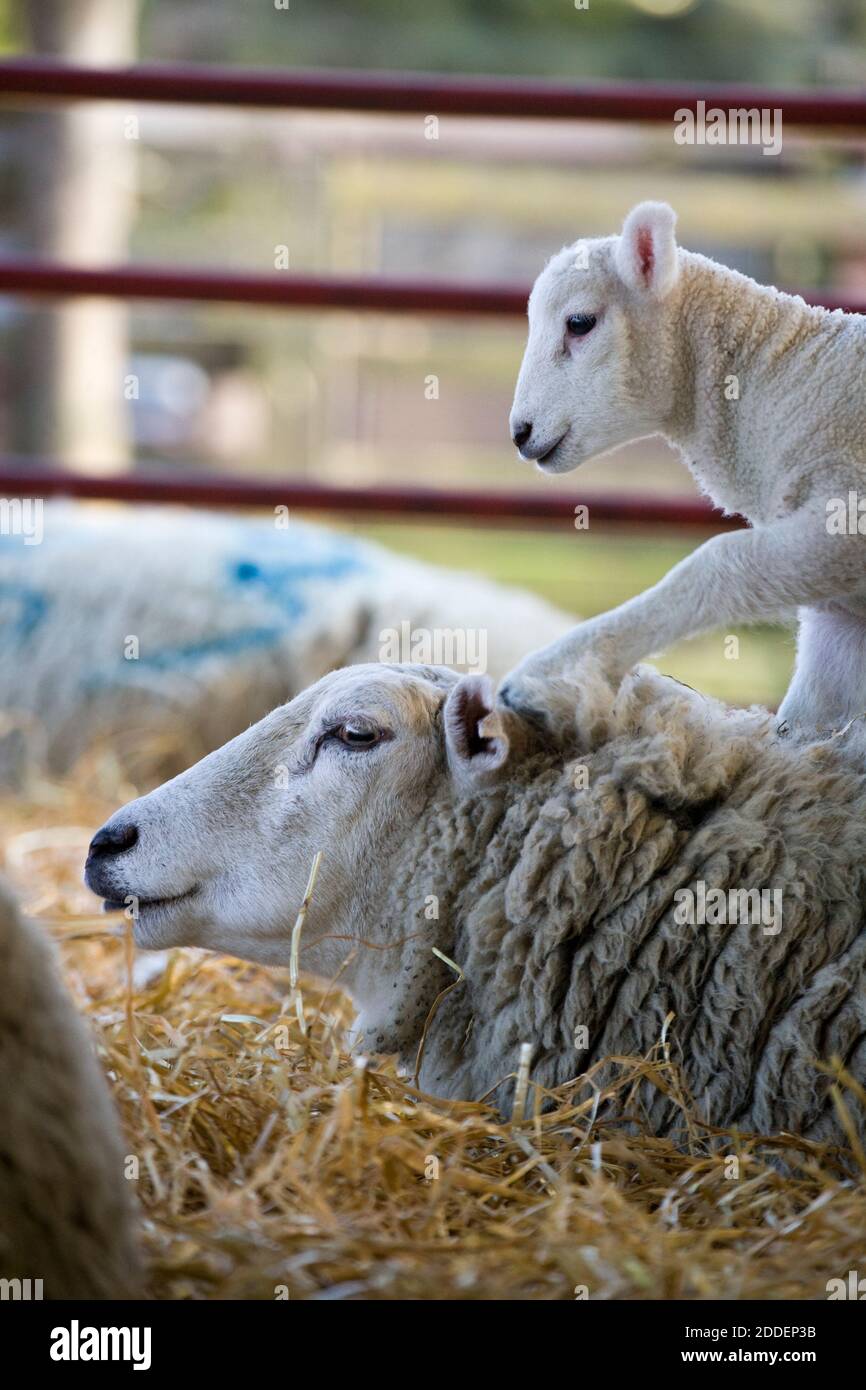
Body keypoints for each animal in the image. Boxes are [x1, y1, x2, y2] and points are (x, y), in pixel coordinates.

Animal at [505, 201, 861, 745]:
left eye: (580, 322)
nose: (519, 433)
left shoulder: (846, 522)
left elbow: (718, 563)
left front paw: (552, 674)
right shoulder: (840, 620)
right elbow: (803, 722)